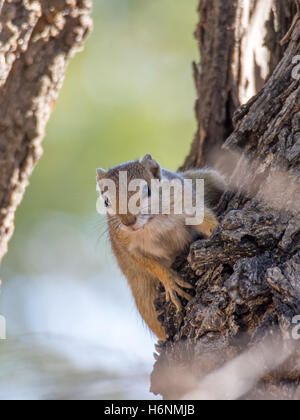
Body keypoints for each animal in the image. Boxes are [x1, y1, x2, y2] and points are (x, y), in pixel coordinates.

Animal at [97, 155, 226, 342]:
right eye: (106, 201)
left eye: (148, 190)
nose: (128, 222)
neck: (152, 223)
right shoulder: (127, 246)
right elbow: (148, 263)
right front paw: (169, 280)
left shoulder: (186, 201)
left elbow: (206, 221)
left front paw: (219, 228)